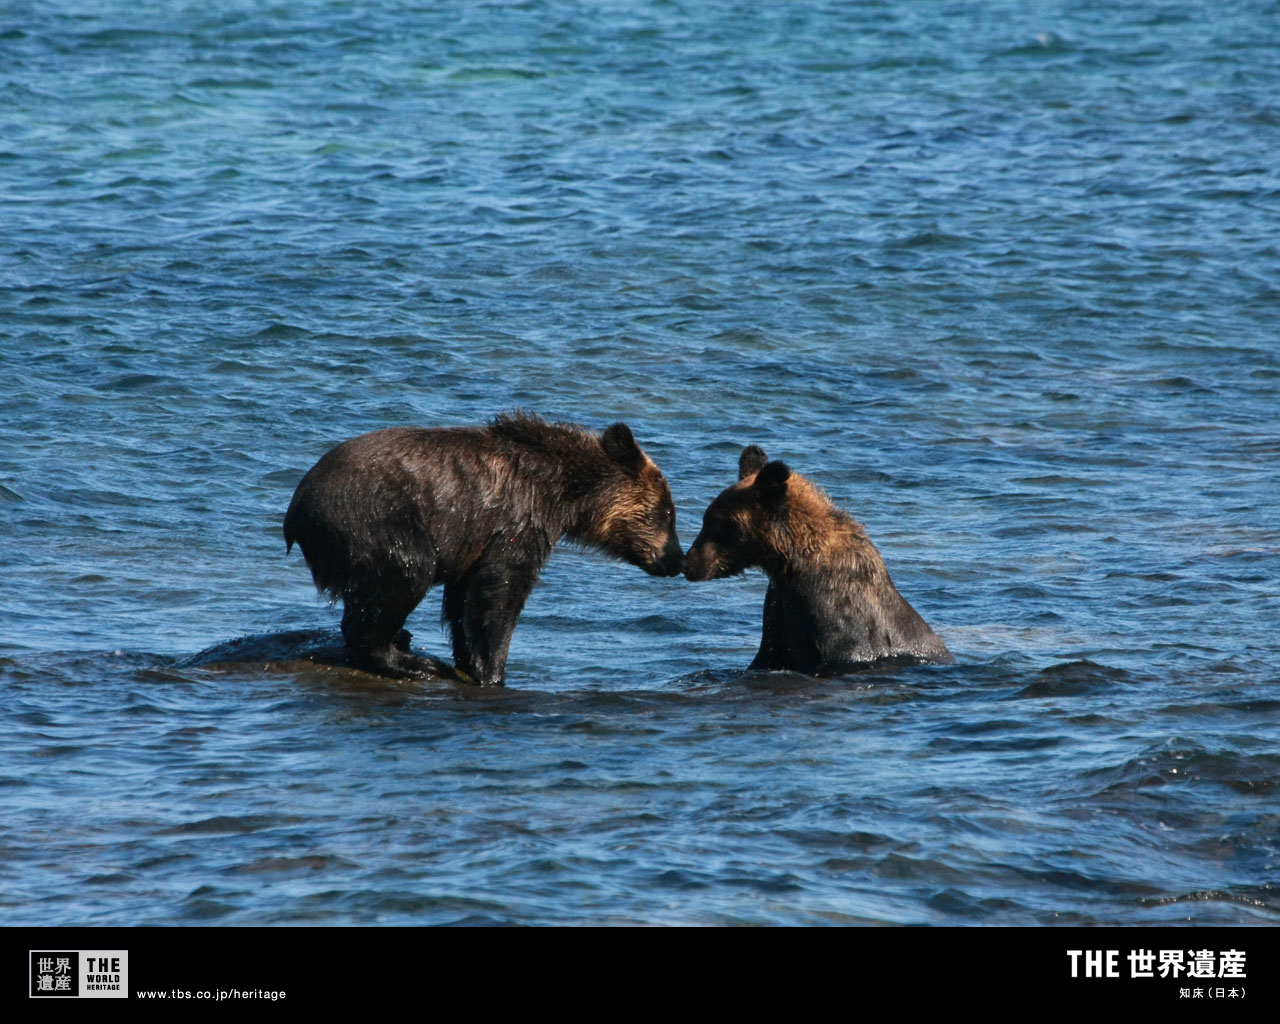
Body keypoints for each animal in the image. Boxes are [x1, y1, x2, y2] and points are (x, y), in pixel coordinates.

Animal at [284, 412, 686, 686]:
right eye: (667, 511)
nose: (675, 559)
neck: (565, 492)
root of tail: (296, 512)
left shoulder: (475, 540)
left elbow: (463, 597)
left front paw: (468, 657)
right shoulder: (517, 521)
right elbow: (499, 592)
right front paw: (491, 670)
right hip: (376, 520)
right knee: (405, 572)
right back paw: (413, 662)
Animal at [686, 445, 957, 670]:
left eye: (716, 523)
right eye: (707, 518)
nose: (688, 563)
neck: (791, 560)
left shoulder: (838, 620)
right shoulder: (781, 613)